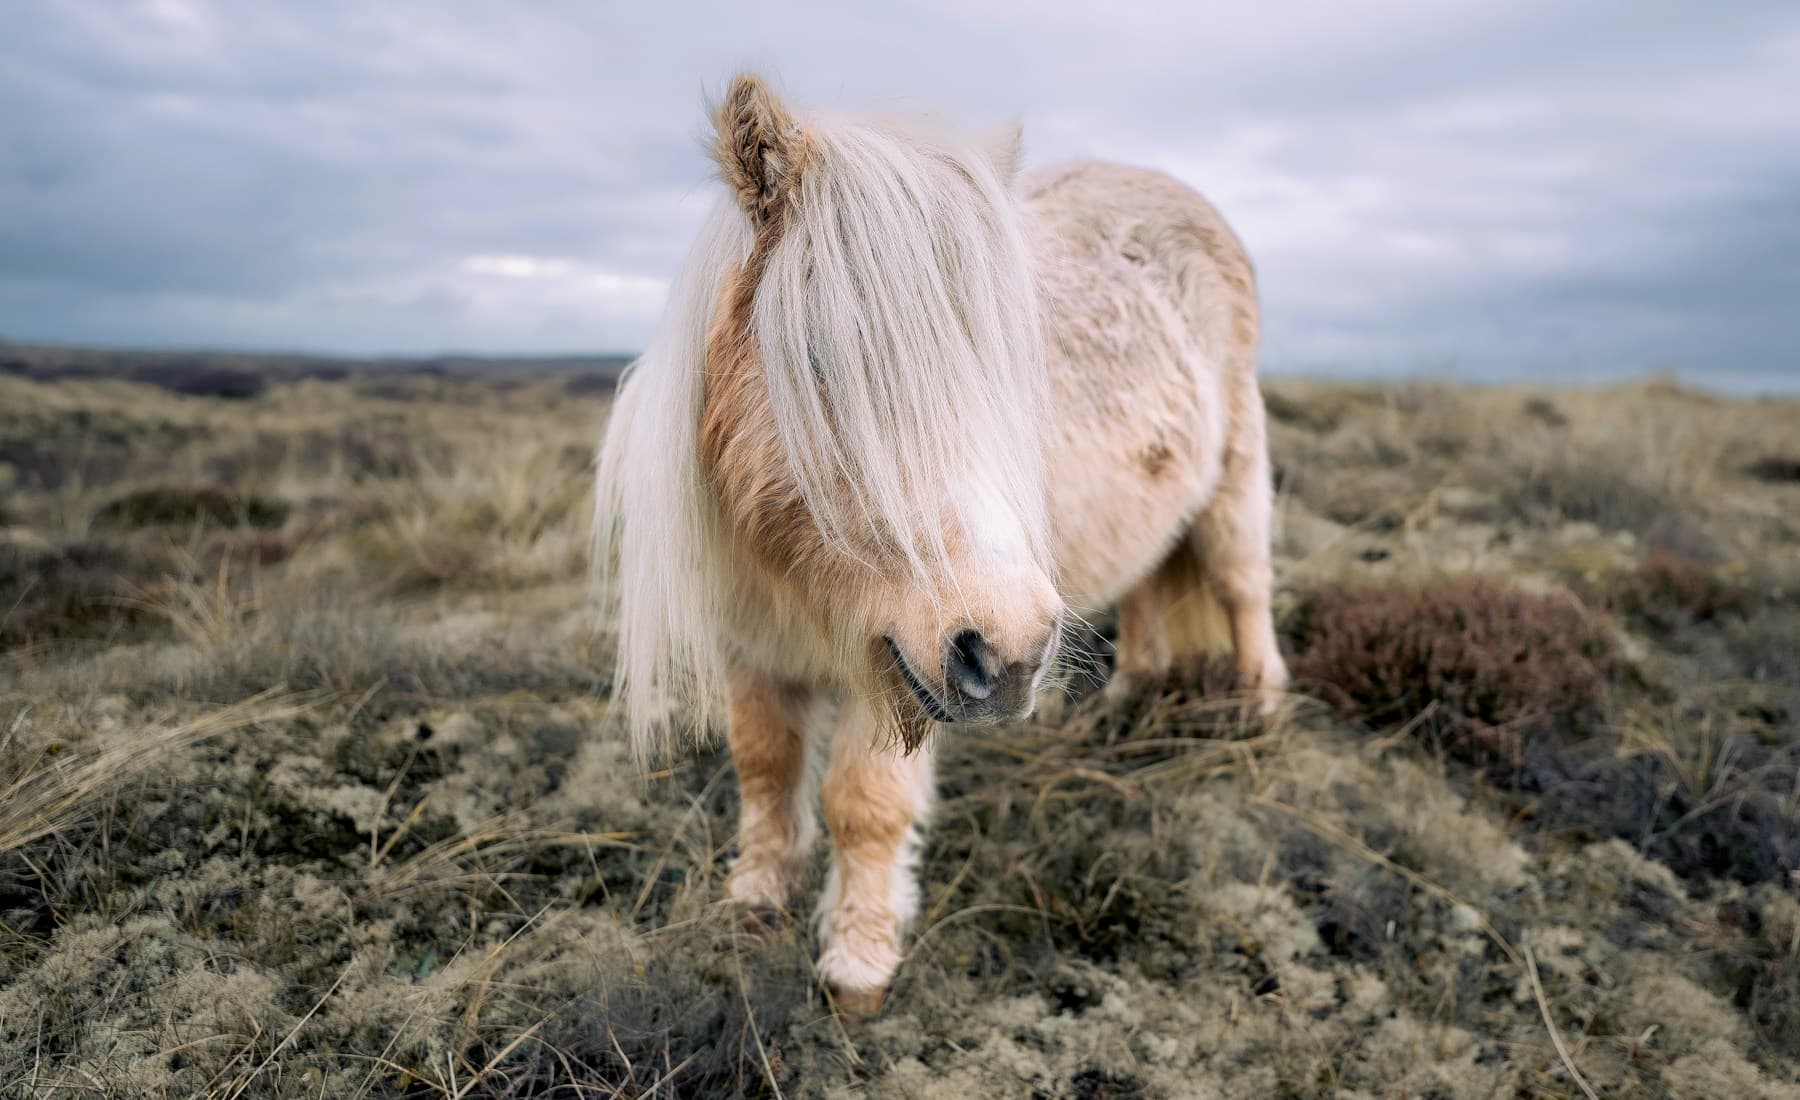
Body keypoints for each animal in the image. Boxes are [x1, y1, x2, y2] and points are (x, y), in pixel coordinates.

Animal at [594, 73, 1288, 1011]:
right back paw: (1123, 704)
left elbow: (863, 803)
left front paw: (859, 960)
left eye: (1007, 366)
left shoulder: (895, 663)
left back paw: (1263, 714)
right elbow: (764, 767)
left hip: (1234, 478)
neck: (788, 569)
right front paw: (755, 902)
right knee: (1148, 583)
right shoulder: (754, 648)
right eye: (820, 357)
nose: (1012, 650)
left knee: (1247, 589)